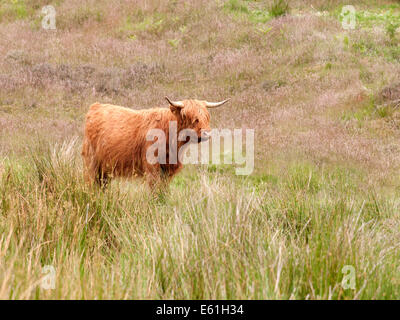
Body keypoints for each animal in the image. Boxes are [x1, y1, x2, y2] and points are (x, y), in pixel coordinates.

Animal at [81, 96, 228, 189]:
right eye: (187, 116)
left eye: (206, 116)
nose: (207, 133)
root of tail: (96, 106)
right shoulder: (152, 167)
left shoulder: (167, 170)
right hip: (91, 162)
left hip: (105, 169)